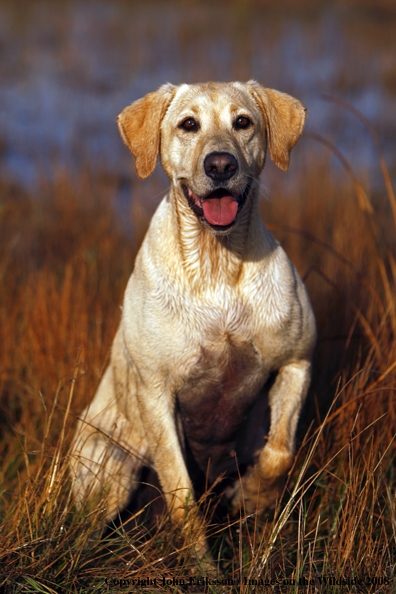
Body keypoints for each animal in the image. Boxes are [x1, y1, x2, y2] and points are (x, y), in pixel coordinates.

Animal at [70, 81, 316, 560]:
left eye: (243, 122)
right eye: (188, 124)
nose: (221, 164)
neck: (217, 262)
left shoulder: (297, 362)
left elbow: (279, 453)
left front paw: (251, 496)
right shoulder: (156, 394)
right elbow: (182, 496)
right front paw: (205, 567)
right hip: (109, 469)